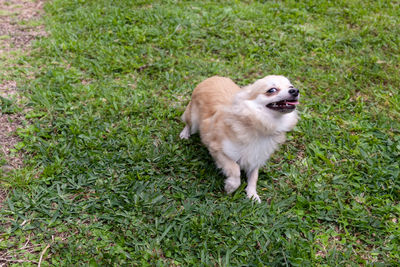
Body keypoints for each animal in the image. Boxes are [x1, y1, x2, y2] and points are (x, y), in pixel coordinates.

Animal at [180, 75, 298, 203]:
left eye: (291, 86)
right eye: (272, 90)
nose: (295, 91)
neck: (259, 126)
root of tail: (213, 77)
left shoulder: (255, 158)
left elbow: (254, 177)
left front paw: (252, 194)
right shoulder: (217, 149)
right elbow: (235, 169)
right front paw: (230, 186)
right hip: (193, 116)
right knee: (188, 123)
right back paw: (185, 133)